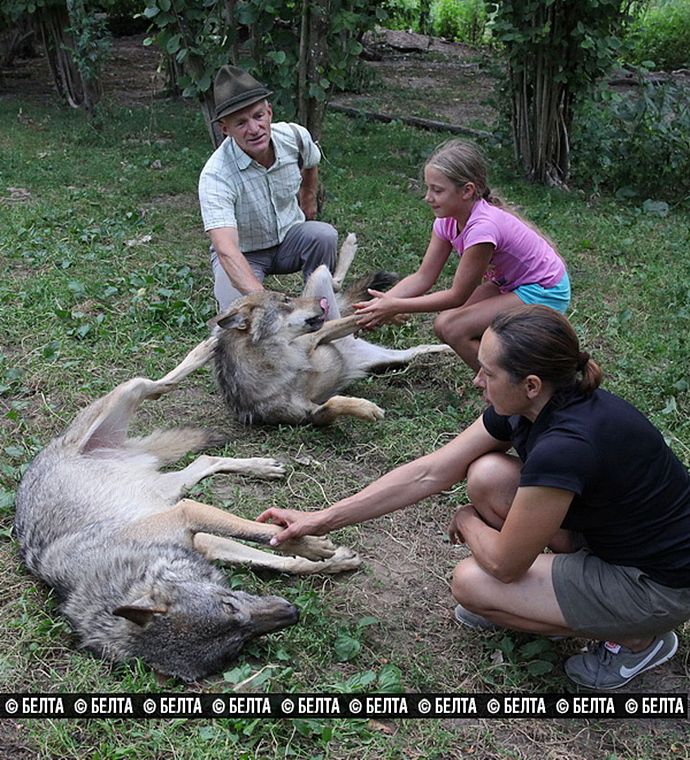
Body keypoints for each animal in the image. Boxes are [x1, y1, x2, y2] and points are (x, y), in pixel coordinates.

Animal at [14, 336, 360, 680]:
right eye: (236, 644)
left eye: (228, 604)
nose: (293, 612)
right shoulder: (201, 540)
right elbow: (278, 558)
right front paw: (329, 560)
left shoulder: (187, 513)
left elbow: (267, 534)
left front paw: (313, 545)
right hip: (170, 488)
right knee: (204, 459)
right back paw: (260, 467)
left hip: (129, 396)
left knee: (155, 386)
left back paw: (206, 351)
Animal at [214, 235, 452, 424]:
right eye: (287, 300)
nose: (322, 302)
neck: (280, 361)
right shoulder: (308, 415)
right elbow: (334, 403)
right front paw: (367, 408)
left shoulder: (316, 336)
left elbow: (355, 317)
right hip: (391, 357)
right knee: (416, 349)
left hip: (321, 282)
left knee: (338, 286)